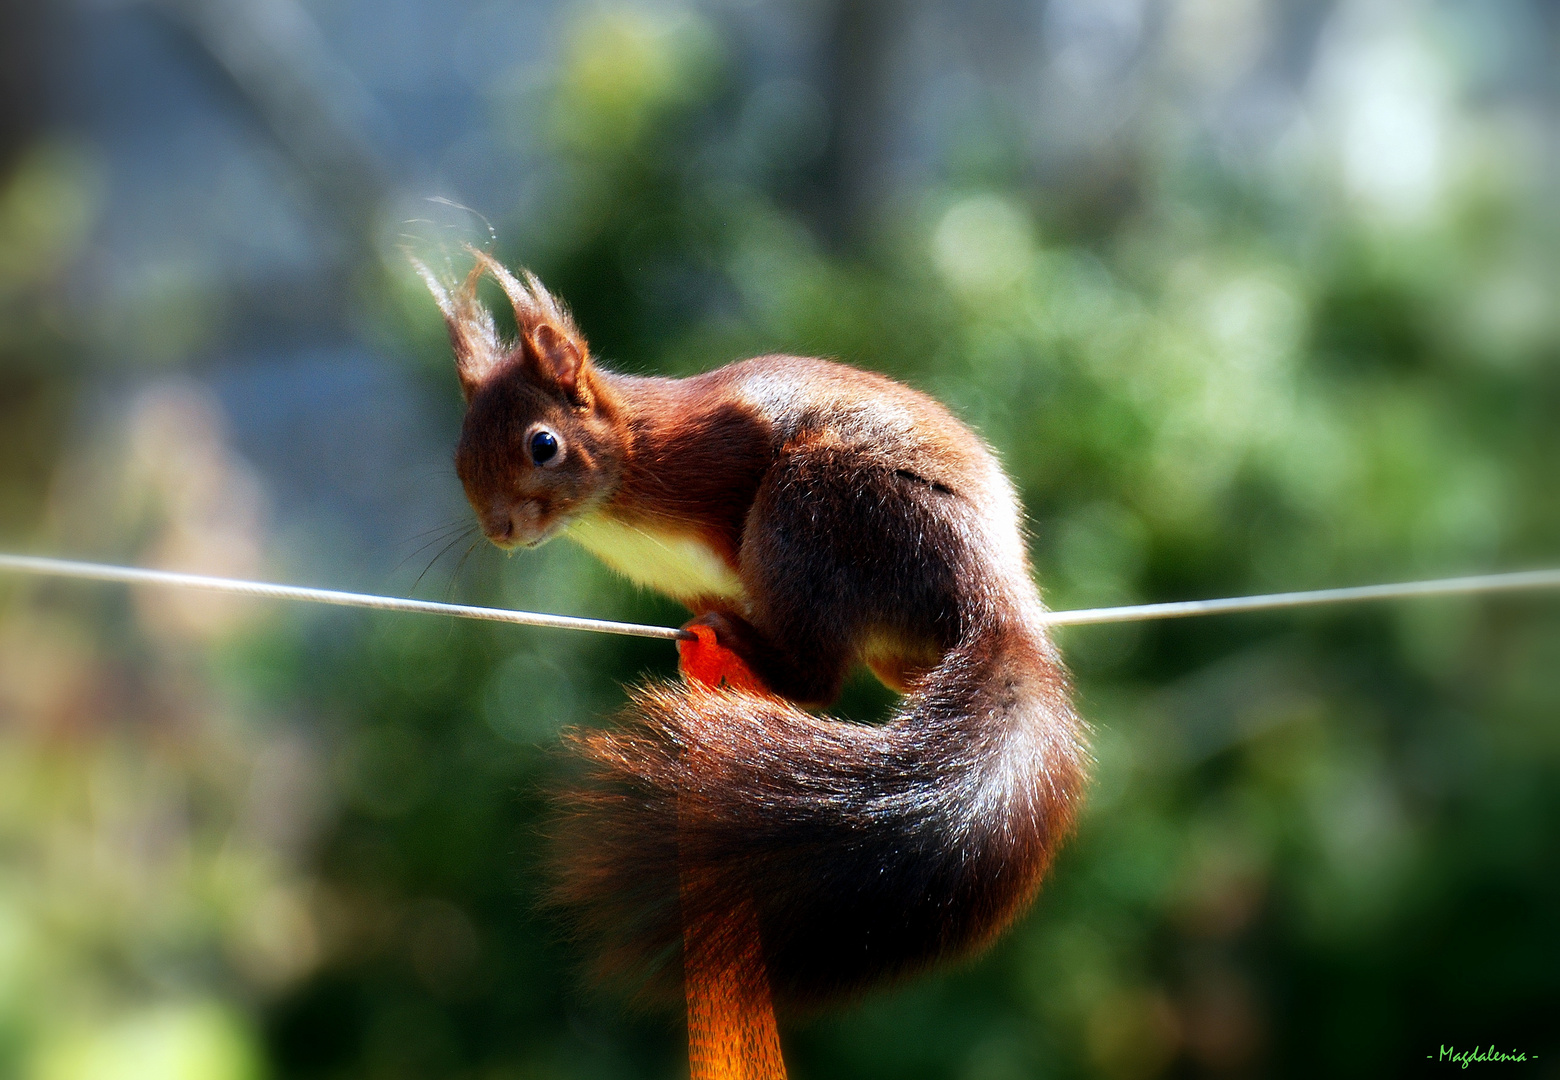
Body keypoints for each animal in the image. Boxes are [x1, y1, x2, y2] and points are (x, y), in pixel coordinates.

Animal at [421, 248, 1092, 1042]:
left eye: (543, 444)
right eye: (460, 456)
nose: (499, 529)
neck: (624, 476)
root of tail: (996, 600)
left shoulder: (724, 448)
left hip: (819, 505)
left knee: (815, 673)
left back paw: (738, 653)